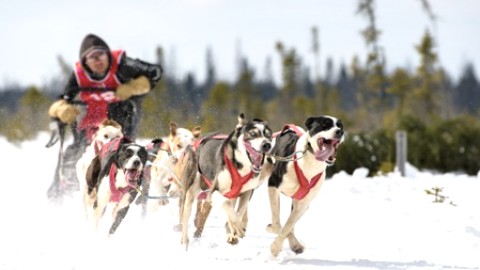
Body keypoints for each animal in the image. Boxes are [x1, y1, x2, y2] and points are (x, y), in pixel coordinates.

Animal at [178, 114, 274, 249]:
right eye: (252, 133)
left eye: (268, 134)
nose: (267, 145)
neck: (240, 167)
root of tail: (195, 143)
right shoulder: (214, 191)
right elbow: (227, 205)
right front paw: (238, 229)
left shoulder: (247, 192)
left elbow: (238, 212)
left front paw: (233, 232)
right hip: (189, 190)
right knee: (185, 215)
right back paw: (184, 241)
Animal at [264, 115, 344, 256]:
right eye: (325, 124)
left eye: (340, 126)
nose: (340, 132)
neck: (310, 162)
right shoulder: (273, 185)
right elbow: (277, 223)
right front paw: (275, 245)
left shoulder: (302, 203)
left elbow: (288, 226)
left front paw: (290, 245)